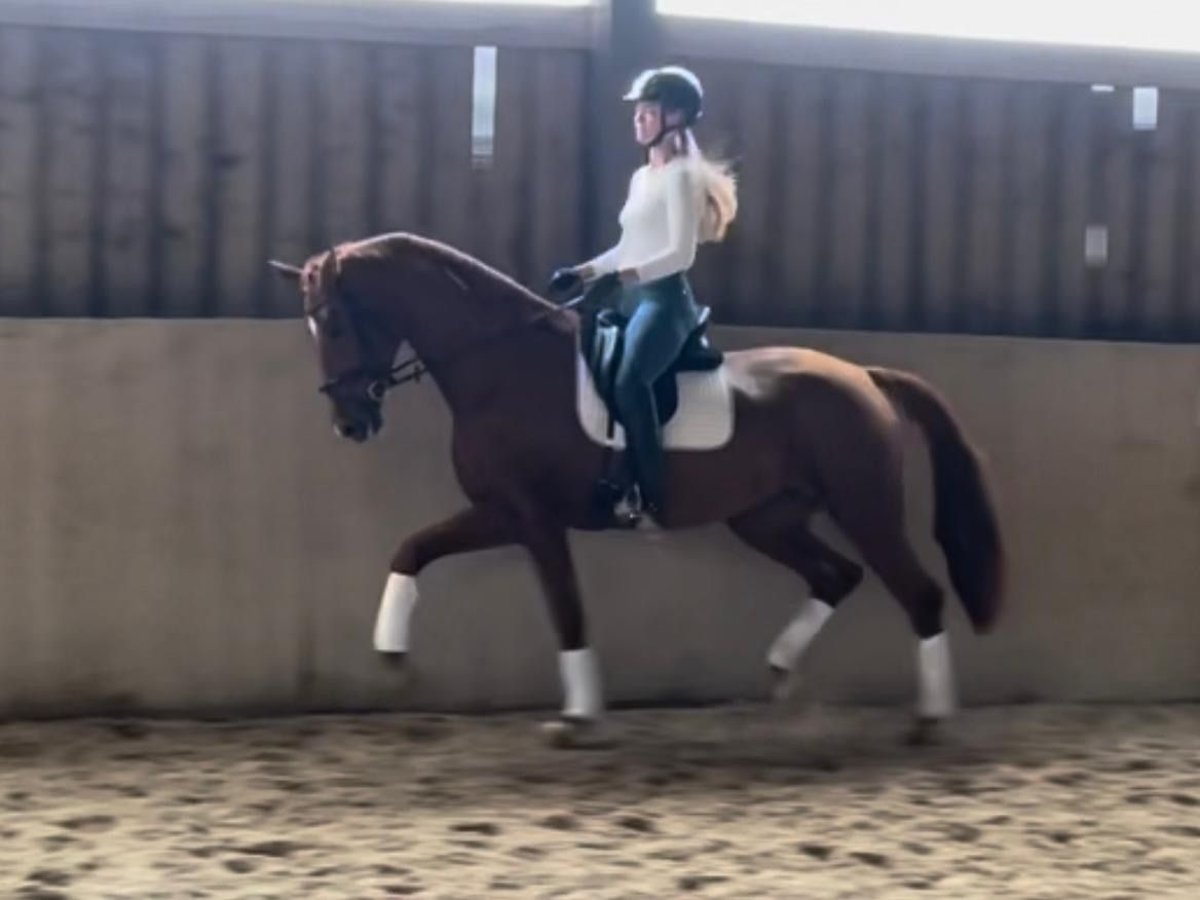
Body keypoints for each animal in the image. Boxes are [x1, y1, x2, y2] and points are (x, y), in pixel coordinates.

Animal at [269, 231, 1006, 746]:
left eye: (334, 320)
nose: (350, 422)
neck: (503, 365)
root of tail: (866, 378)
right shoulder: (497, 511)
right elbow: (411, 549)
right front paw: (391, 653)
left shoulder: (530, 517)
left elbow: (566, 610)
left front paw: (576, 719)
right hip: (766, 519)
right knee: (836, 575)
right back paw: (781, 672)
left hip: (866, 508)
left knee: (920, 594)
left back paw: (930, 721)